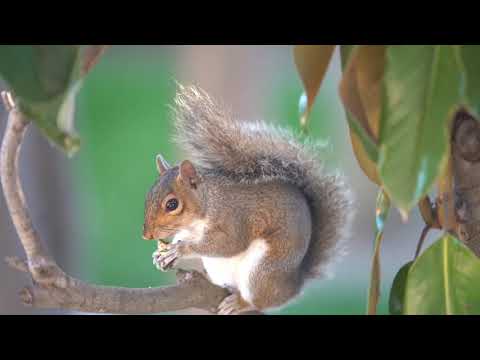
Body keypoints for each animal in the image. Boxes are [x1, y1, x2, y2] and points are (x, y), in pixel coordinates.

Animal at [142, 84, 352, 316]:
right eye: (149, 194)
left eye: (172, 204)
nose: (146, 235)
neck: (207, 204)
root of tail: (293, 285)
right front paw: (162, 253)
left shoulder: (234, 218)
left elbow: (229, 243)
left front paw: (179, 249)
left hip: (262, 272)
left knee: (259, 300)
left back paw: (240, 303)